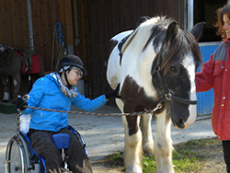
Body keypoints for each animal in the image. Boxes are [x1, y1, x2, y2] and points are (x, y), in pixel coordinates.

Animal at [106, 16, 205, 173]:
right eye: (173, 68)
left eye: (196, 66)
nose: (188, 119)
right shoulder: (130, 108)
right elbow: (133, 139)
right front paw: (133, 167)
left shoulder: (165, 108)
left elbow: (163, 143)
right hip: (121, 104)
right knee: (127, 126)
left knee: (146, 120)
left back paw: (147, 147)